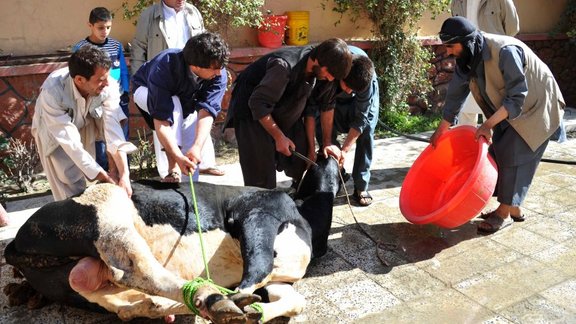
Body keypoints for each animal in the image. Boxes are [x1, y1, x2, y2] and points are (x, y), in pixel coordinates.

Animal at [3, 154, 342, 322]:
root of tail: (15, 243)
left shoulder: (281, 280)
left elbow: (295, 301)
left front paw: (254, 310)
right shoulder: (260, 211)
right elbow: (257, 266)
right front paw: (240, 300)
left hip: (80, 282)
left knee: (119, 300)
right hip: (107, 212)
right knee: (137, 270)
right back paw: (214, 299)